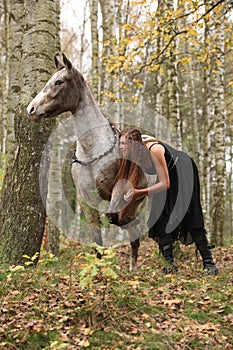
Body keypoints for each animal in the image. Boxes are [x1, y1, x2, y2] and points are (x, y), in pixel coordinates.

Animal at [26, 53, 147, 270]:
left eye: (59, 82)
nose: (31, 109)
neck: (93, 151)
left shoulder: (117, 192)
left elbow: (113, 219)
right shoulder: (86, 199)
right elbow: (95, 236)